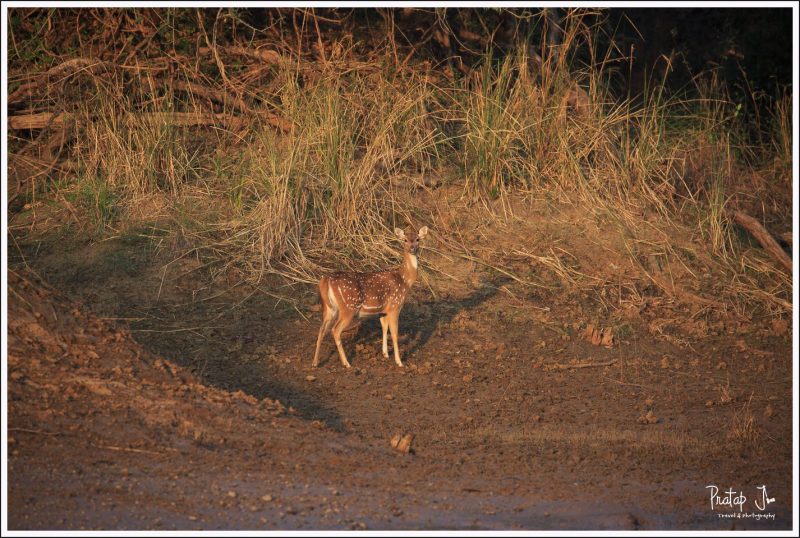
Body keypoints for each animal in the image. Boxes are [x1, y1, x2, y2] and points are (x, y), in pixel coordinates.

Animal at [310, 224, 428, 366]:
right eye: (405, 240)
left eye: (418, 239)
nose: (412, 248)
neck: (404, 280)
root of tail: (326, 280)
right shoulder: (395, 306)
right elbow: (394, 334)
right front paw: (399, 362)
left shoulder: (383, 311)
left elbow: (384, 328)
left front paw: (385, 354)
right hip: (348, 307)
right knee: (335, 330)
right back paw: (346, 363)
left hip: (329, 308)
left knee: (322, 329)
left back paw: (315, 362)